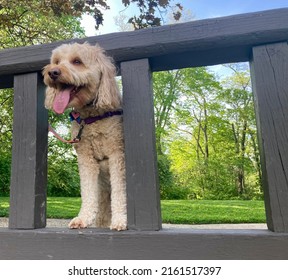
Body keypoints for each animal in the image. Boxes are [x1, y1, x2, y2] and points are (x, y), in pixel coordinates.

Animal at [43, 42, 127, 231]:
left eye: (77, 61)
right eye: (56, 61)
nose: (53, 72)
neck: (91, 118)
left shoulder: (117, 155)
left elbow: (119, 191)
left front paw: (120, 220)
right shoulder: (86, 158)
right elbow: (88, 190)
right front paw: (83, 218)